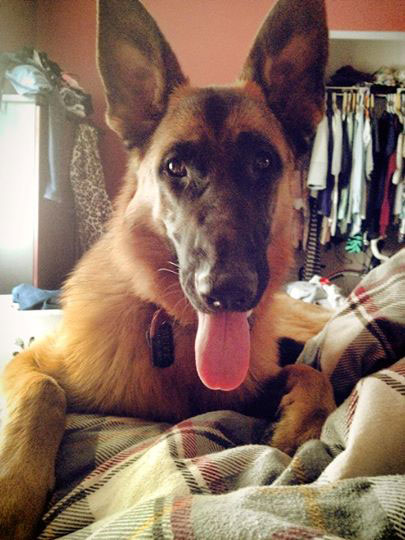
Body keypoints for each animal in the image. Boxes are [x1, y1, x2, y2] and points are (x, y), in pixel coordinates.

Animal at [0, 0, 335, 537]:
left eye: (263, 163)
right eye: (175, 167)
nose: (229, 291)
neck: (173, 331)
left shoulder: (250, 387)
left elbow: (311, 373)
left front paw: (297, 428)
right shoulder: (30, 366)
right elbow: (42, 393)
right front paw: (13, 493)